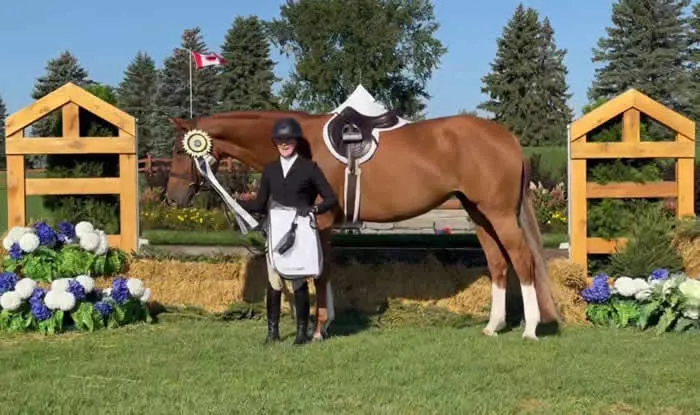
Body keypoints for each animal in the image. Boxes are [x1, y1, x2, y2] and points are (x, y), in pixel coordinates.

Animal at [164, 109, 561, 341]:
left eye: (182, 149)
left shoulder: (320, 219)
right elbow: (326, 272)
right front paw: (328, 322)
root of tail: (507, 138)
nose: (172, 197)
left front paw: (319, 328)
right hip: (479, 215)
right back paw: (494, 326)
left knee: (522, 261)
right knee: (498, 264)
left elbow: (320, 273)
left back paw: (529, 329)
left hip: (499, 214)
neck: (300, 147)